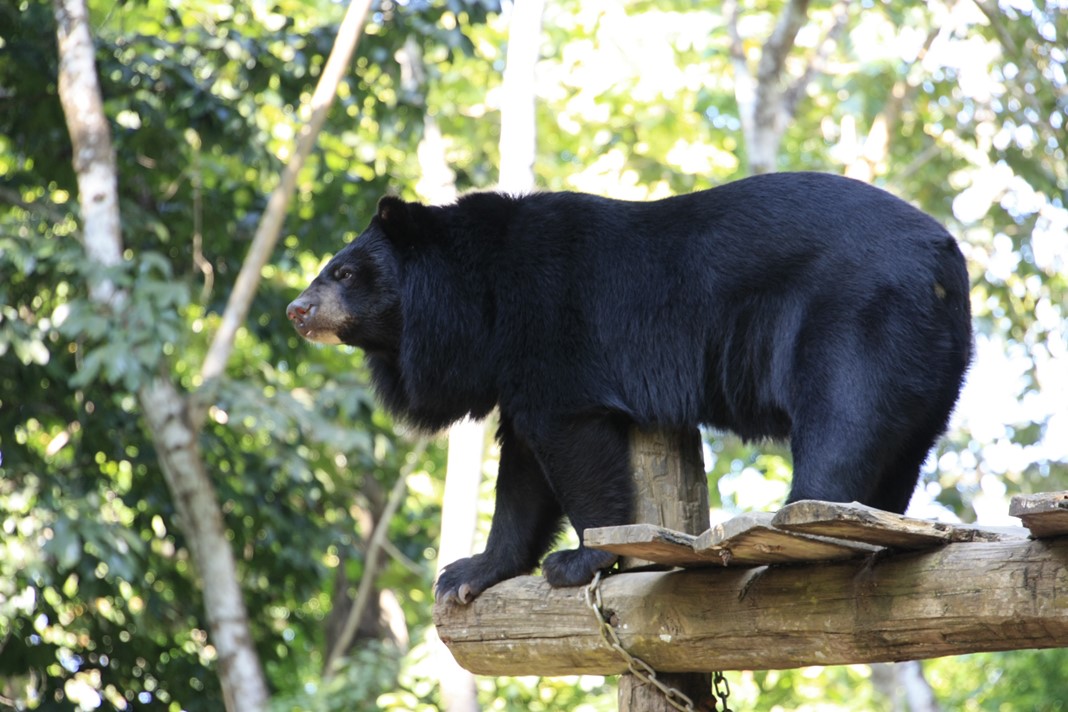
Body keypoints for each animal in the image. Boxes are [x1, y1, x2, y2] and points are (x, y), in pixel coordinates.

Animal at [288, 170, 974, 602]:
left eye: (343, 273)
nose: (297, 310)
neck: (478, 300)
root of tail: (945, 257)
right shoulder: (511, 363)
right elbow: (523, 474)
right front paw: (466, 575)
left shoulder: (550, 324)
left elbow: (570, 443)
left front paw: (579, 561)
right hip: (937, 358)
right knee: (901, 439)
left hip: (858, 321)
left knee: (844, 418)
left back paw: (795, 523)